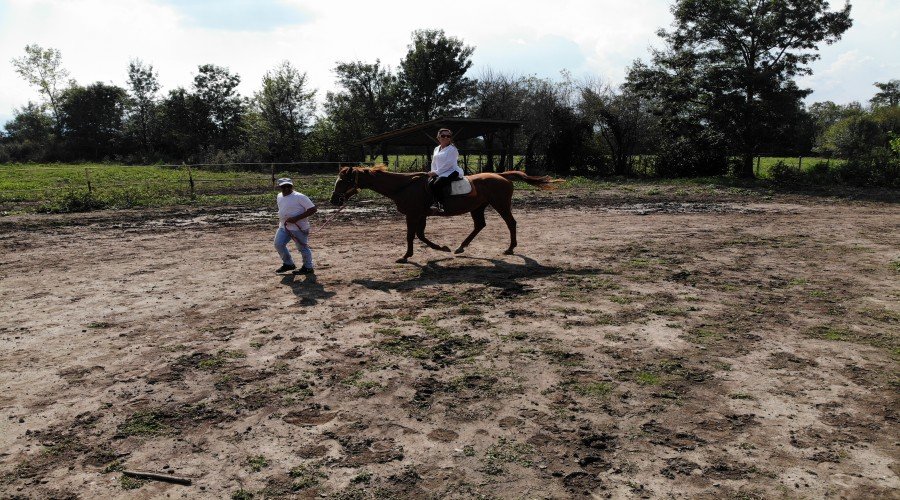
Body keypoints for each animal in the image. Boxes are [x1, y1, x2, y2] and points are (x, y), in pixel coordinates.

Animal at [326, 166, 560, 264]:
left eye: (344, 181)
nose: (334, 200)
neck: (403, 186)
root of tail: (501, 176)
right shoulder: (421, 215)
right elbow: (420, 236)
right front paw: (442, 248)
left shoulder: (413, 215)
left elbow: (411, 236)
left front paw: (405, 256)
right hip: (478, 207)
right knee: (479, 225)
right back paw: (460, 247)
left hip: (500, 204)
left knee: (511, 223)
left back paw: (510, 248)